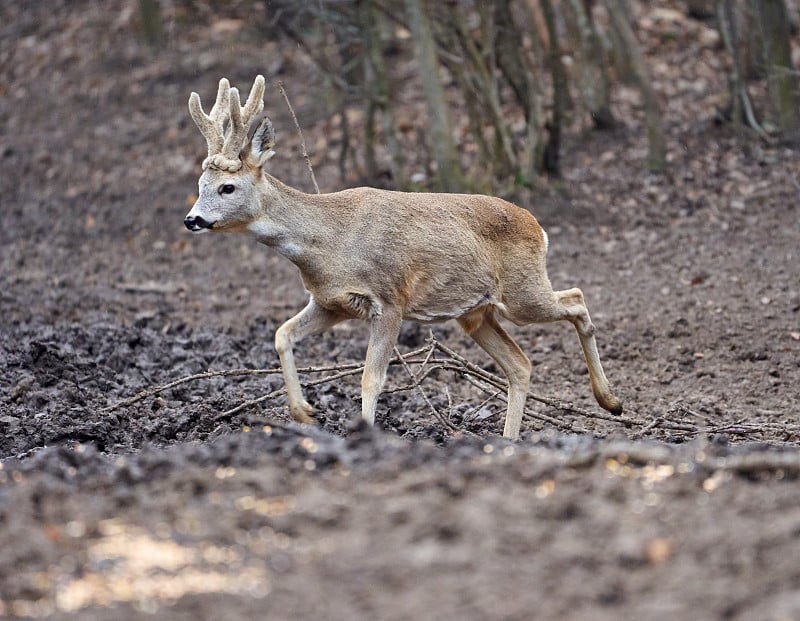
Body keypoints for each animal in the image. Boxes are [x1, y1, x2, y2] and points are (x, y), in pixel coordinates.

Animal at [184, 75, 620, 438]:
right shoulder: (330, 302)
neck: (329, 243)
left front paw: (362, 434)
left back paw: (610, 401)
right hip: (476, 313)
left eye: (226, 187)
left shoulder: (390, 299)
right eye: (200, 183)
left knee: (576, 300)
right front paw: (304, 412)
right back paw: (509, 442)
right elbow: (281, 334)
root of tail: (538, 226)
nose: (192, 219)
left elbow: (370, 379)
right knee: (521, 364)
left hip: (521, 292)